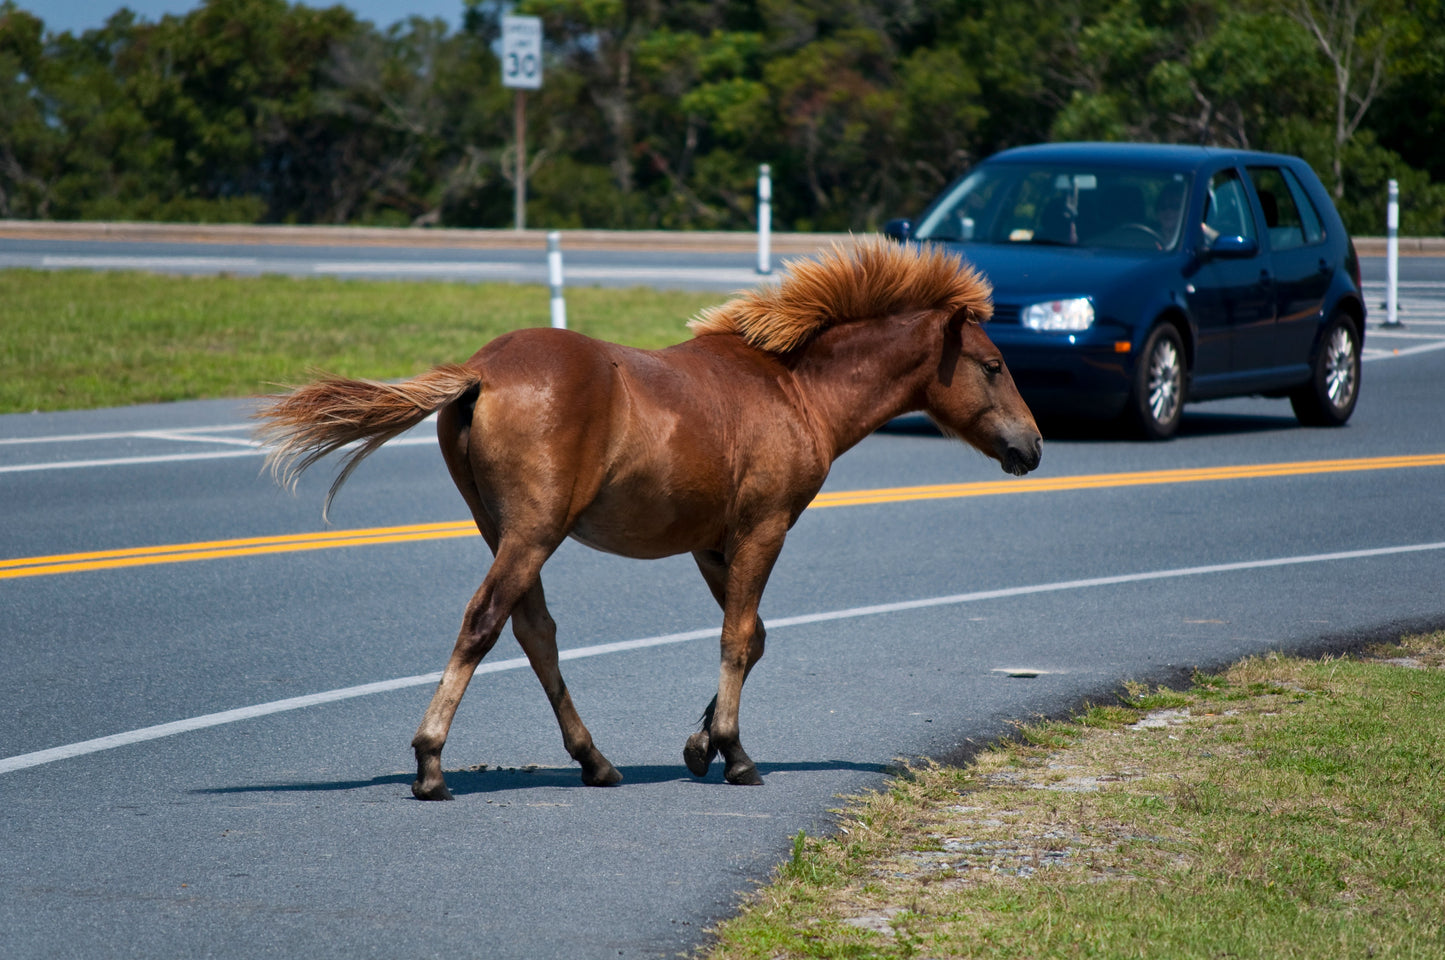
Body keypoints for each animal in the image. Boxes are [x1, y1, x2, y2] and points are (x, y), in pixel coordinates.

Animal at [253, 239, 1042, 801]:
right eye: (993, 364)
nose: (1030, 447)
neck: (793, 390)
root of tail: (481, 370)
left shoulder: (711, 544)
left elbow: (753, 637)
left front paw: (700, 746)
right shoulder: (764, 529)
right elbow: (737, 639)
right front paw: (735, 754)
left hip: (502, 529)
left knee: (533, 631)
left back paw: (595, 761)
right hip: (533, 533)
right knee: (485, 622)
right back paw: (431, 763)